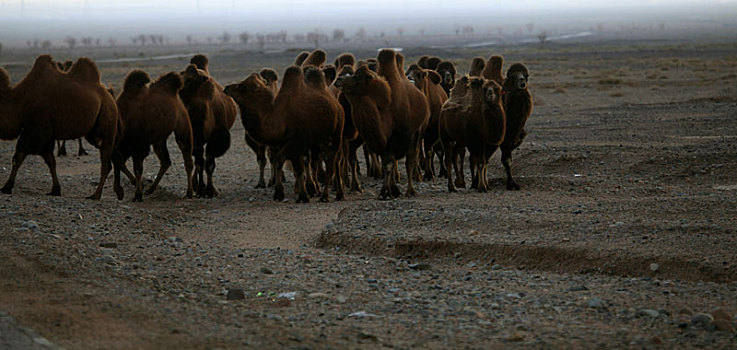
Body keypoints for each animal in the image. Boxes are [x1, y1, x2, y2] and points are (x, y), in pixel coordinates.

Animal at [0, 56, 116, 200]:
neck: (19, 101)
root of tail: (109, 94)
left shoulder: (37, 129)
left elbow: (18, 157)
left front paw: (6, 187)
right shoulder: (43, 135)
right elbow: (51, 161)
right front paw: (55, 190)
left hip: (107, 119)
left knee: (106, 162)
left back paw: (95, 195)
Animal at [111, 70, 193, 202]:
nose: (119, 193)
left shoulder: (139, 145)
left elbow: (137, 168)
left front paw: (138, 194)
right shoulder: (126, 146)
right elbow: (122, 163)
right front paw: (137, 185)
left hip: (182, 124)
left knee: (187, 159)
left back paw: (189, 193)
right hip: (159, 139)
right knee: (165, 161)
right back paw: (151, 189)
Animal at [178, 55, 236, 197]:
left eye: (189, 82)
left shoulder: (215, 138)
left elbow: (209, 164)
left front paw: (210, 190)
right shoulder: (196, 138)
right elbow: (200, 163)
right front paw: (200, 189)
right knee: (198, 160)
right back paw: (195, 184)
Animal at [223, 65, 344, 202]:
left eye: (242, 86)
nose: (226, 88)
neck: (280, 119)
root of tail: (336, 104)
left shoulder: (297, 142)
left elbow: (284, 161)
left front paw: (293, 194)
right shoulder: (284, 144)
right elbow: (291, 167)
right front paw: (293, 194)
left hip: (336, 134)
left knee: (332, 164)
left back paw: (326, 196)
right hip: (320, 140)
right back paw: (334, 193)